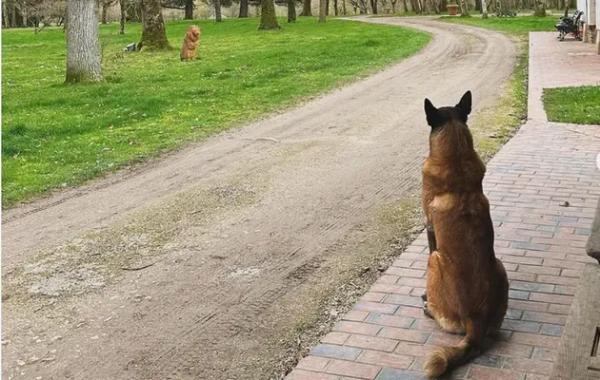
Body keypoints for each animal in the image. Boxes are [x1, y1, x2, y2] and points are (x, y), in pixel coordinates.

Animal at [420, 91, 508, 378]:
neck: (456, 160)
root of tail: (475, 320)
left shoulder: (429, 230)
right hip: (499, 265)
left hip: (435, 260)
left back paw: (429, 308)